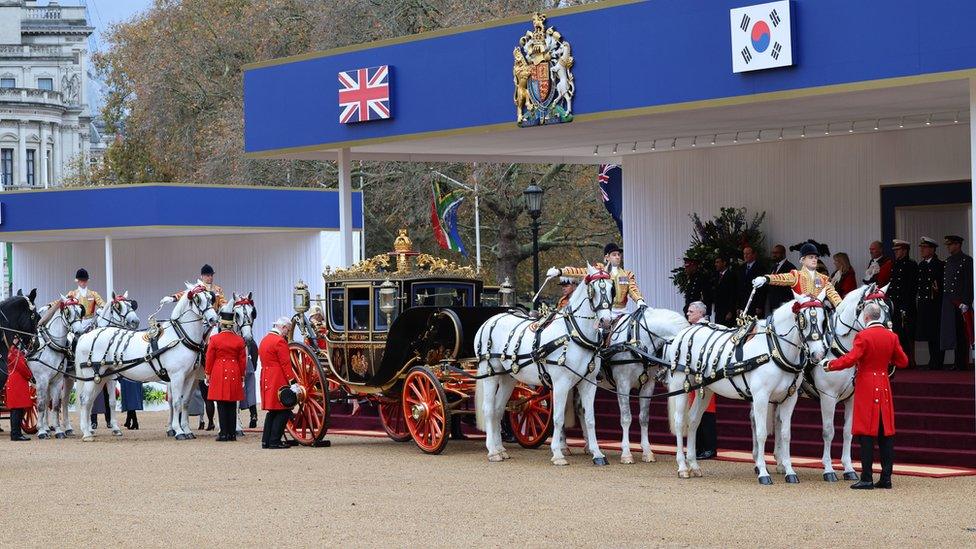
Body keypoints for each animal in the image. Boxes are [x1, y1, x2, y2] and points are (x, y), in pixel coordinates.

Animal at [73, 282, 218, 440]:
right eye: (197, 299)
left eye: (210, 297)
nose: (213, 319)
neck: (180, 337)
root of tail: (85, 336)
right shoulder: (176, 376)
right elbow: (176, 402)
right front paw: (178, 431)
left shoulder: (190, 376)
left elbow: (185, 402)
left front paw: (186, 430)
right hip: (92, 376)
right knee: (85, 399)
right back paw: (87, 433)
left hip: (102, 377)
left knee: (90, 401)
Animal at [476, 264, 612, 464]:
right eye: (593, 290)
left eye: (612, 288)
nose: (606, 321)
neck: (574, 335)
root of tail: (490, 321)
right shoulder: (561, 383)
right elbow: (558, 418)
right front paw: (558, 454)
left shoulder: (588, 383)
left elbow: (590, 419)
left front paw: (597, 453)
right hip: (490, 373)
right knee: (488, 409)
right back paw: (492, 451)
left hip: (508, 377)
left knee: (498, 409)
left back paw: (500, 449)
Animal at [600, 308, 692, 462]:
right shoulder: (622, 385)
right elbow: (626, 417)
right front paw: (626, 453)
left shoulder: (648, 386)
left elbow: (644, 418)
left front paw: (647, 452)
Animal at [664, 294, 832, 482]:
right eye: (803, 319)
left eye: (824, 320)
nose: (818, 354)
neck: (774, 349)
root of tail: (686, 331)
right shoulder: (761, 397)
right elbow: (761, 433)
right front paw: (763, 472)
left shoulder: (790, 398)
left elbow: (785, 434)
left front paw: (789, 471)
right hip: (681, 385)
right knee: (680, 422)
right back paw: (683, 466)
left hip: (705, 390)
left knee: (693, 420)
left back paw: (693, 464)